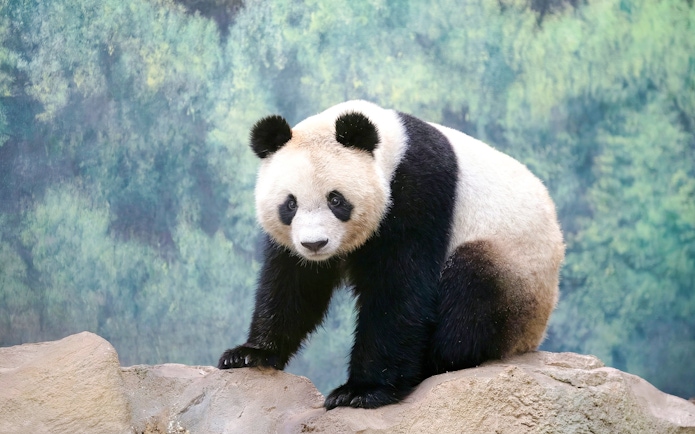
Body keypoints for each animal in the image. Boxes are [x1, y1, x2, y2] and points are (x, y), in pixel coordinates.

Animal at [218, 100, 564, 410]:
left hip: (515, 273)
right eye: (290, 204)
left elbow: (400, 289)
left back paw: (432, 363)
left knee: (471, 292)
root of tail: (532, 338)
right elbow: (294, 284)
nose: (315, 244)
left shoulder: (418, 191)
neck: (393, 149)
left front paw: (361, 391)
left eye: (336, 200)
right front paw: (250, 354)